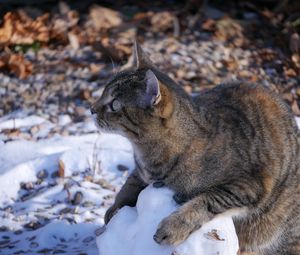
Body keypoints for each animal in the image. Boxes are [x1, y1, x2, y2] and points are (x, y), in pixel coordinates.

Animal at [91, 42, 300, 254]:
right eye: (103, 93)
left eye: (115, 104)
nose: (91, 108)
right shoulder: (140, 172)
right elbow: (129, 183)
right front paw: (114, 208)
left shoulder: (249, 185)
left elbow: (207, 200)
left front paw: (174, 226)